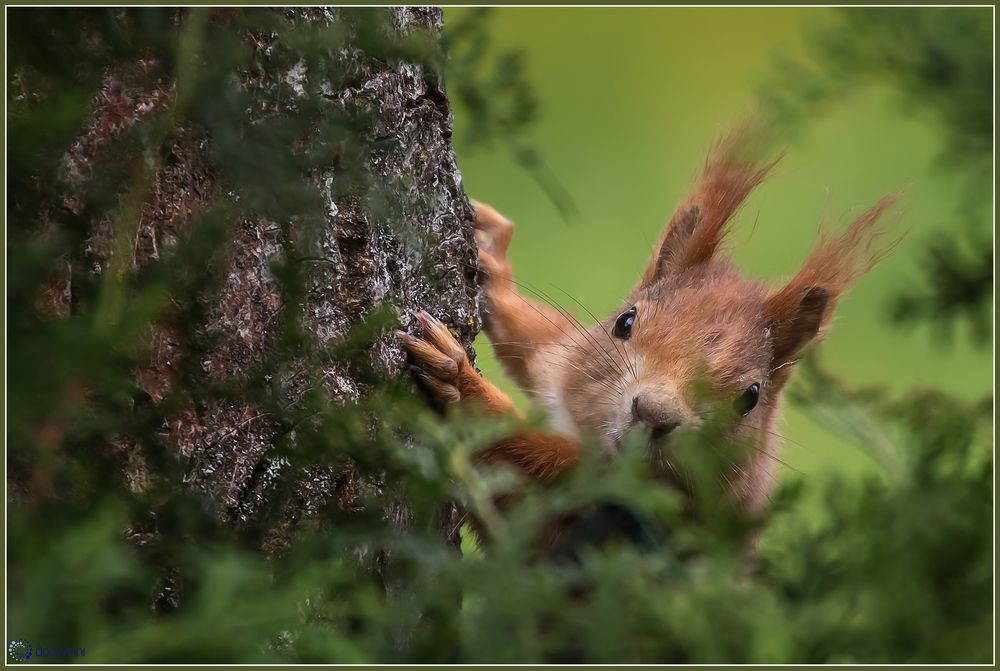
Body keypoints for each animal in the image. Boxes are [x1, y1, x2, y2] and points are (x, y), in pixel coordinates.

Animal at [396, 122, 900, 520]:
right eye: (624, 322)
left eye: (750, 398)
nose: (654, 413)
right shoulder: (563, 363)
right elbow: (535, 339)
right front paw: (493, 264)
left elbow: (523, 457)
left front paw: (460, 383)